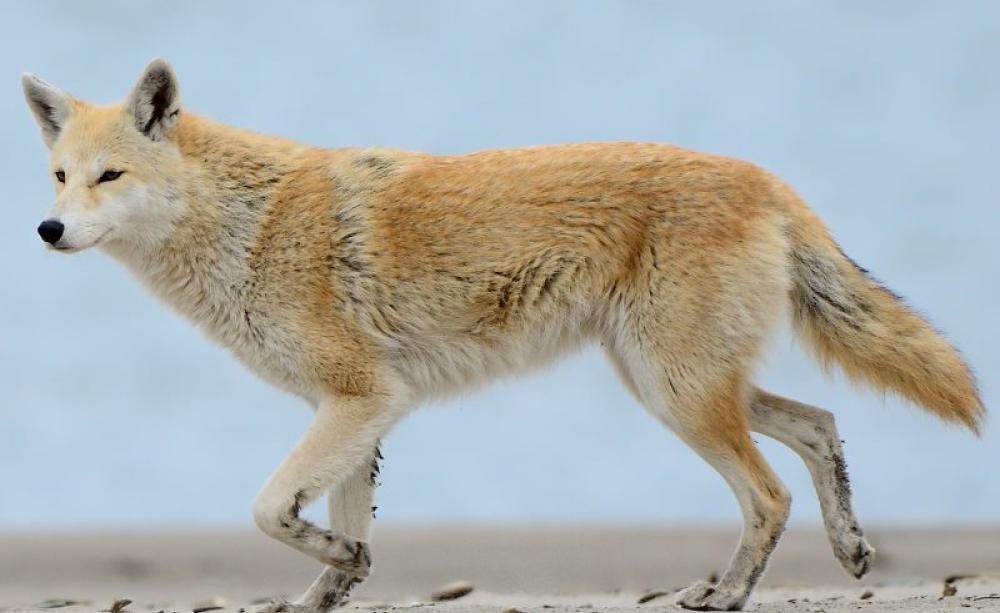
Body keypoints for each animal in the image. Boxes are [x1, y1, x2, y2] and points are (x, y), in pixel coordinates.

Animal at [22, 59, 983, 611]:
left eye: (110, 176)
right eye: (61, 175)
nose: (47, 231)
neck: (248, 224)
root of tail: (765, 178)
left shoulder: (361, 399)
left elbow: (267, 509)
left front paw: (333, 560)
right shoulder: (363, 410)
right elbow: (337, 535)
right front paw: (330, 581)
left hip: (677, 397)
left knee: (770, 492)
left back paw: (727, 595)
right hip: (680, 386)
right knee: (819, 427)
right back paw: (843, 551)